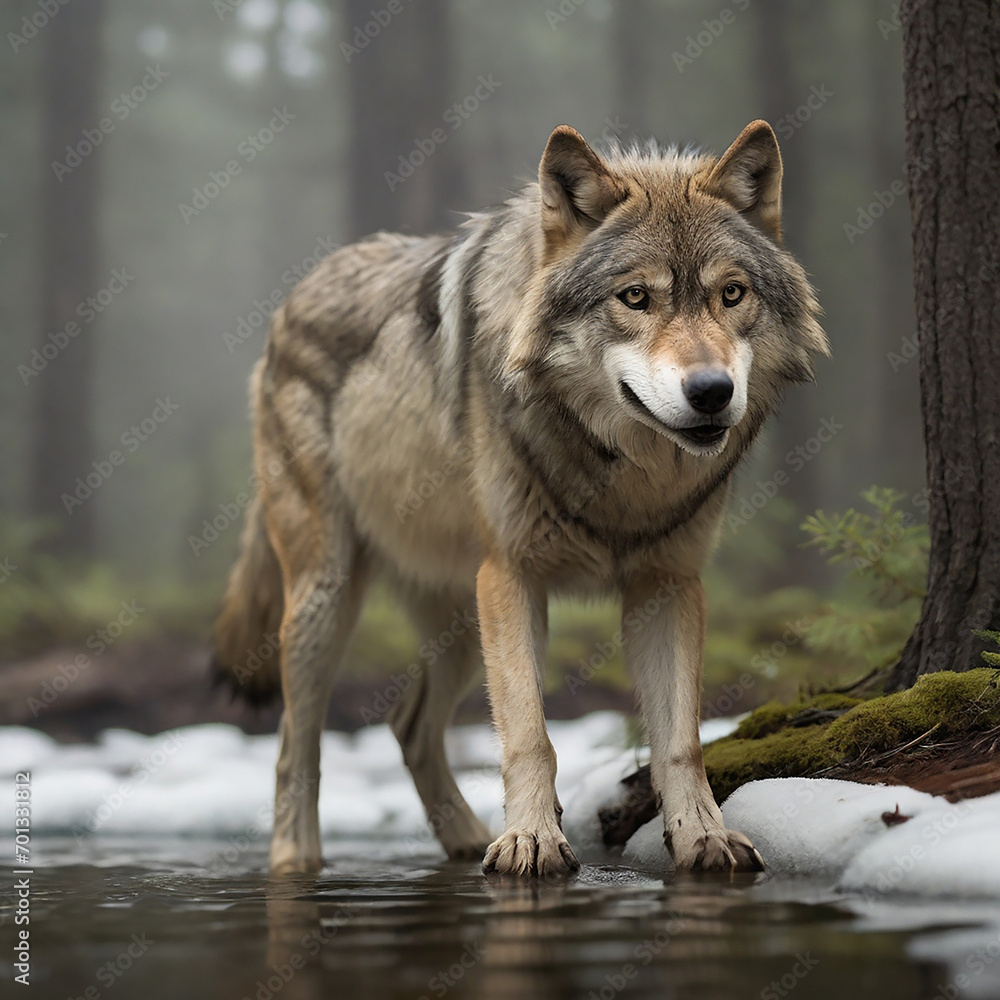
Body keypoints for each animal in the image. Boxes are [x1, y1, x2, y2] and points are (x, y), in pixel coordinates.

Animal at [214, 120, 828, 877]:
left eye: (732, 294)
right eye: (635, 298)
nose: (712, 392)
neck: (622, 477)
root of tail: (293, 298)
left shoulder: (668, 585)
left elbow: (680, 741)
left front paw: (701, 838)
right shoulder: (512, 578)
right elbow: (529, 733)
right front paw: (531, 841)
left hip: (456, 619)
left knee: (407, 725)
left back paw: (462, 839)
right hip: (328, 601)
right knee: (295, 742)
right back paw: (296, 861)